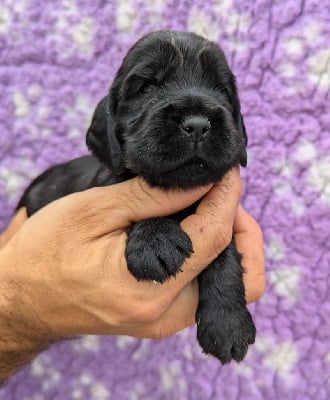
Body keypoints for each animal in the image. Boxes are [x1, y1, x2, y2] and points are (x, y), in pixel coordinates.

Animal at [17, 30, 255, 362]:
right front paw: (155, 241)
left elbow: (225, 254)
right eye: (146, 87)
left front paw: (228, 324)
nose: (197, 124)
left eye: (221, 89)